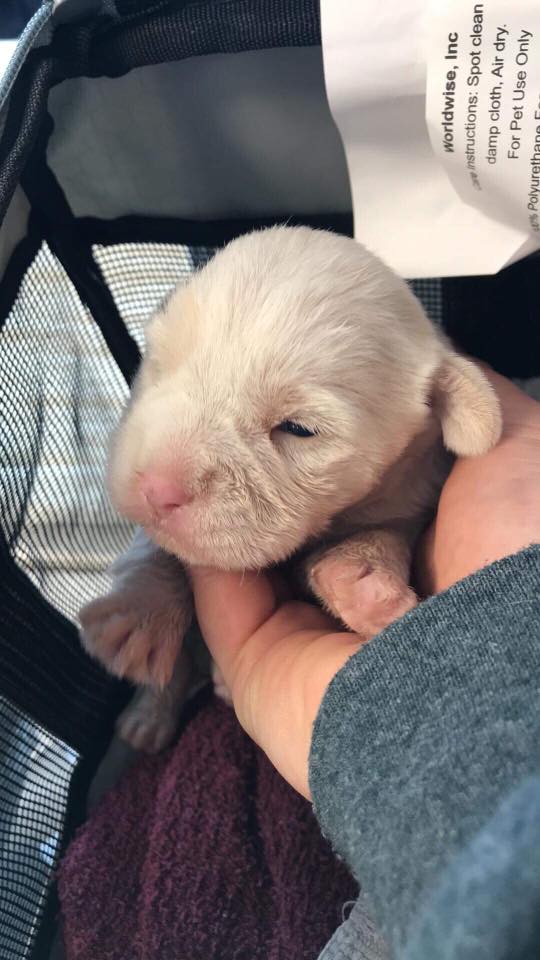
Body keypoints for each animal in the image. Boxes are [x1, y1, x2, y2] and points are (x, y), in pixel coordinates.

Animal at [80, 225, 502, 752]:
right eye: (161, 363)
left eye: (298, 429)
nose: (158, 487)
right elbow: (152, 549)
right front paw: (141, 615)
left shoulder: (411, 493)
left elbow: (388, 532)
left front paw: (362, 579)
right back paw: (148, 714)